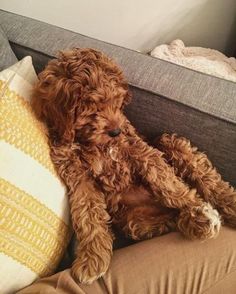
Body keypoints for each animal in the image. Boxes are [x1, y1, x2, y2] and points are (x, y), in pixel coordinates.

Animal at [31, 47, 236, 282]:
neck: (91, 142)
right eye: (91, 108)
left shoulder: (138, 150)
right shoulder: (78, 176)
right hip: (134, 219)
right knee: (170, 220)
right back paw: (197, 223)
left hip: (168, 143)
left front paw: (193, 204)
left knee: (206, 180)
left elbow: (168, 183)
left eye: (116, 102)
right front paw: (92, 258)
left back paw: (219, 208)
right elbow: (87, 214)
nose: (115, 130)